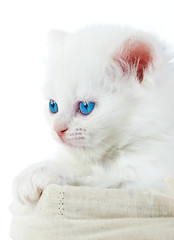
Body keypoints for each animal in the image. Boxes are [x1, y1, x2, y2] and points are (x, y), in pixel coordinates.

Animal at [13, 24, 174, 204]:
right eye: (53, 106)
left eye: (85, 107)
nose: (58, 129)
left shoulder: (148, 182)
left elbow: (95, 177)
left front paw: (40, 172)